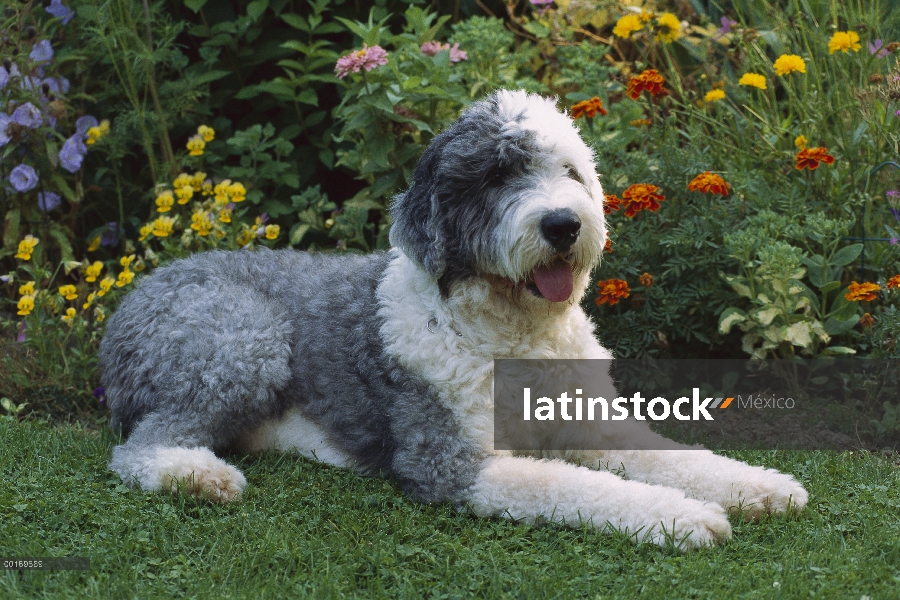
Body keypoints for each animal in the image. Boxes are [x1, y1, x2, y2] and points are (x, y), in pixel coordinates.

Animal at [100, 88, 808, 548]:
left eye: (570, 170)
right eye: (496, 176)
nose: (563, 224)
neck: (513, 333)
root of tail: (133, 296)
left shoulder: (590, 423)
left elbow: (672, 455)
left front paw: (759, 487)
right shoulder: (451, 464)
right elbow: (575, 486)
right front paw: (683, 517)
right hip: (246, 339)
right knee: (139, 446)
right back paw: (198, 475)